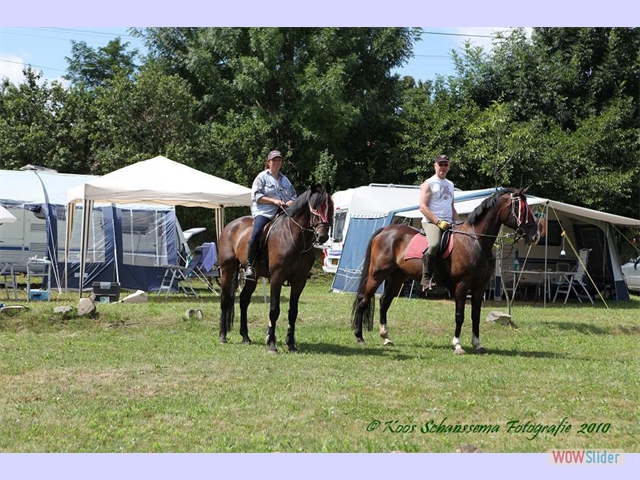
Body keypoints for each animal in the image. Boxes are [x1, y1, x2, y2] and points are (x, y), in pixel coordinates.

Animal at [218, 184, 332, 352]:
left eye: (330, 207)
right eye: (314, 208)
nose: (322, 236)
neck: (295, 238)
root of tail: (230, 226)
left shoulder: (299, 281)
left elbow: (293, 312)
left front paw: (291, 345)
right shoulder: (277, 278)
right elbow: (274, 310)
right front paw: (272, 344)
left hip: (253, 277)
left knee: (244, 300)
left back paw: (246, 337)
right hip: (227, 269)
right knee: (225, 299)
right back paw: (223, 336)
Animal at [350, 187, 540, 352]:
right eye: (520, 208)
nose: (535, 236)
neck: (476, 241)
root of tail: (385, 230)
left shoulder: (479, 287)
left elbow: (476, 316)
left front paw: (477, 344)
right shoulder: (462, 285)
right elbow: (459, 314)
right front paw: (457, 345)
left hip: (397, 277)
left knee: (384, 302)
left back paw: (386, 337)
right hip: (377, 274)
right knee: (363, 300)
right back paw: (359, 337)